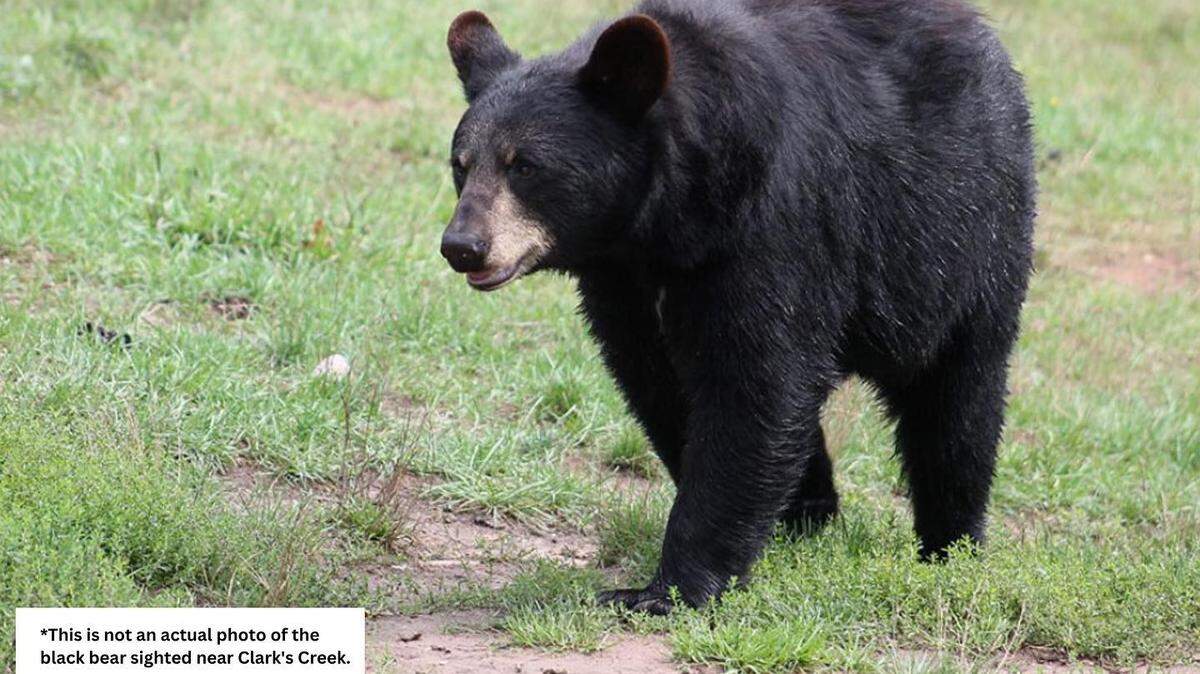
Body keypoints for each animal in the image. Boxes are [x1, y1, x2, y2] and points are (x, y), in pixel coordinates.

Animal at [439, 0, 1035, 615]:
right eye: (462, 163)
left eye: (526, 166)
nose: (462, 246)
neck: (667, 224)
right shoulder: (623, 286)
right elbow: (664, 385)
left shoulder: (771, 230)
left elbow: (755, 385)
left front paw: (665, 589)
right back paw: (809, 512)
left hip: (962, 238)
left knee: (957, 400)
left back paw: (951, 544)